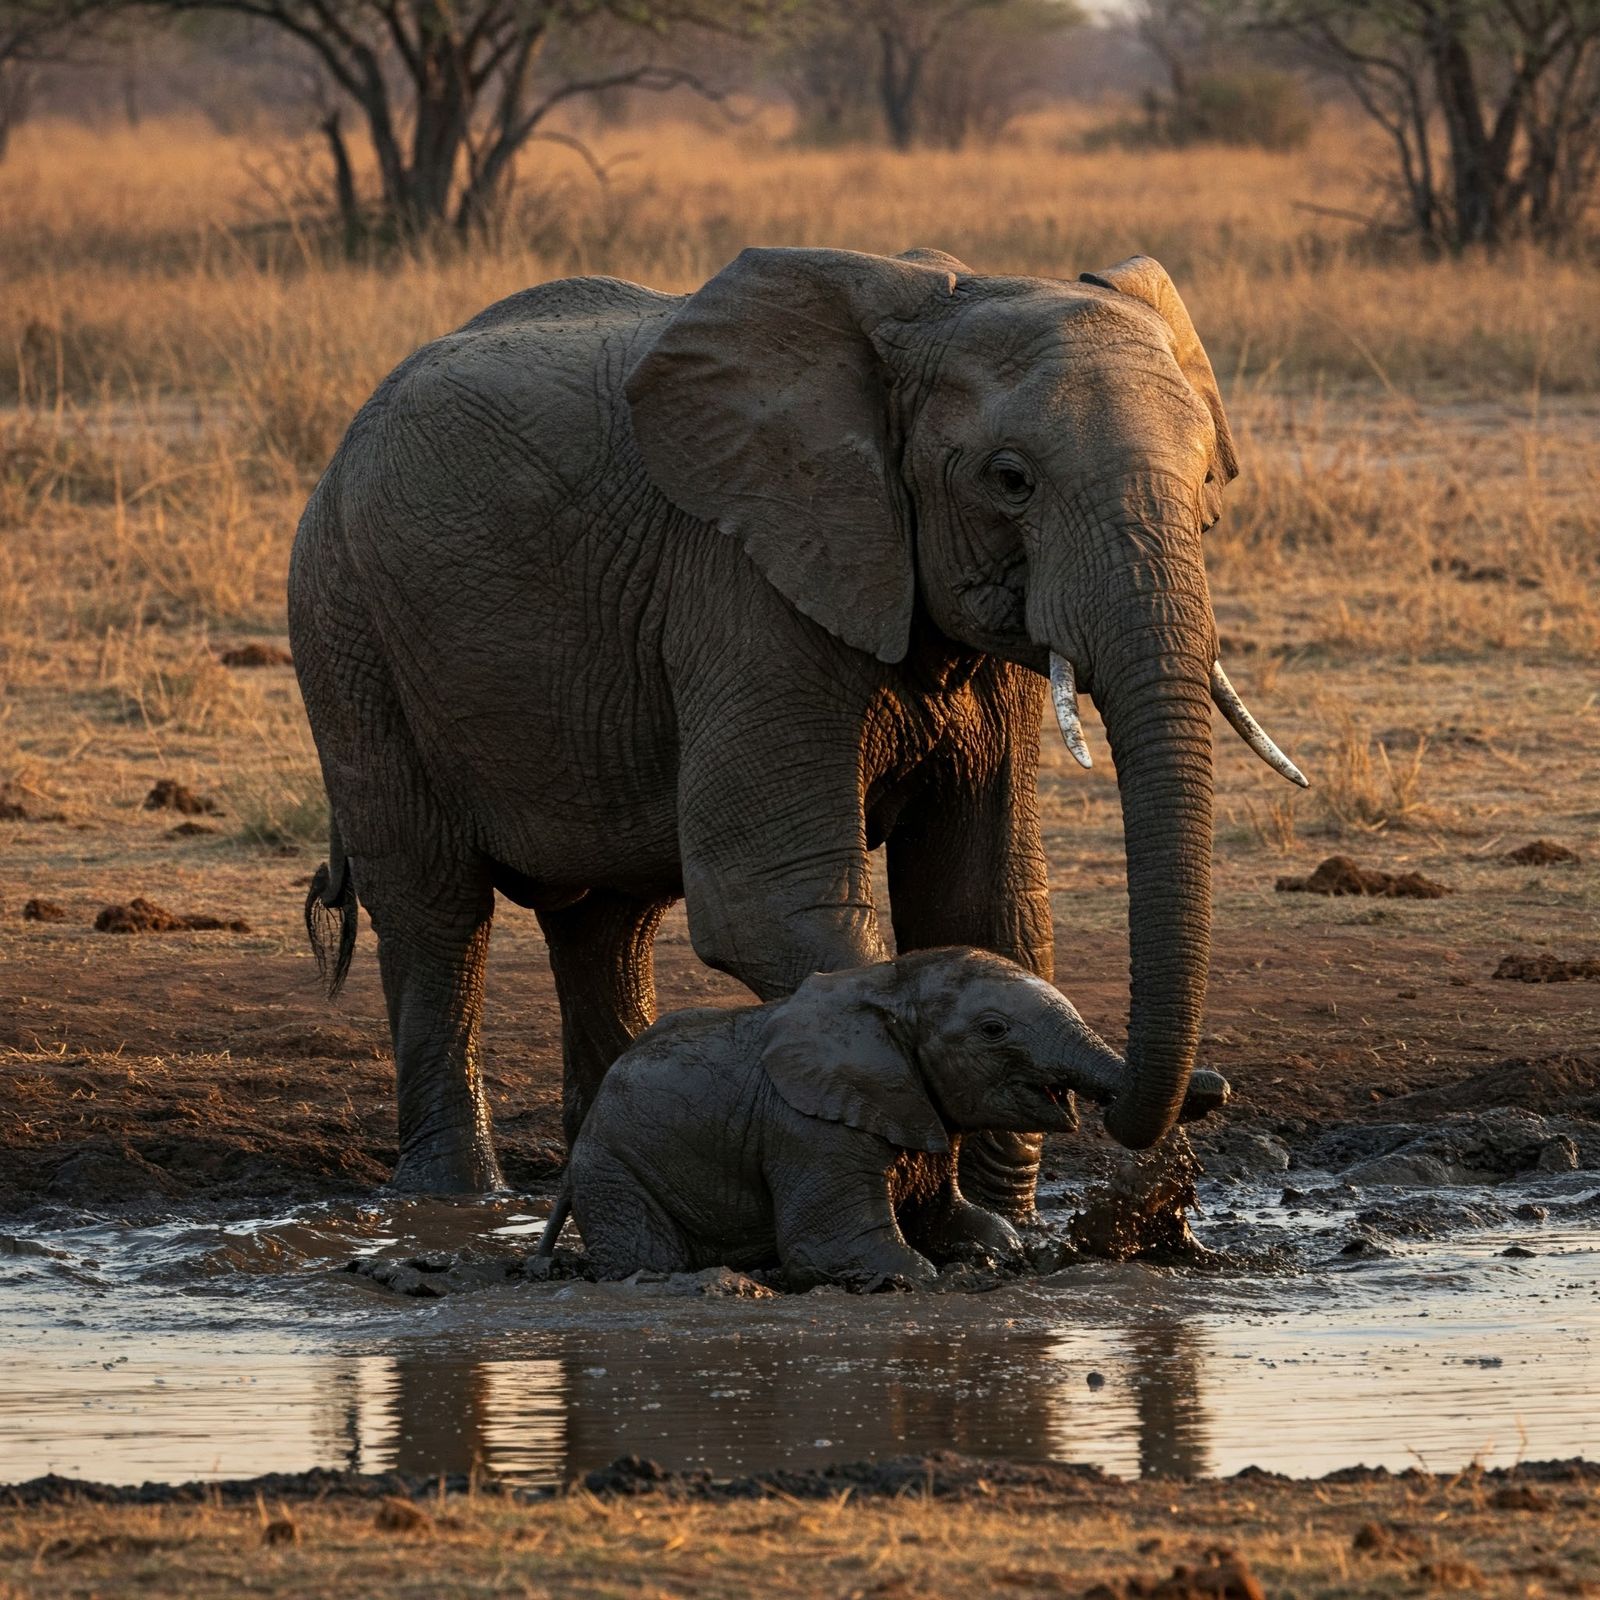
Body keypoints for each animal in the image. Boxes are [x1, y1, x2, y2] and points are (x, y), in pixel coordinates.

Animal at [288, 242, 1303, 1207]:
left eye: (1207, 482)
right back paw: (453, 1198)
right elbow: (771, 900)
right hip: (346, 625)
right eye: (1010, 480)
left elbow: (982, 903)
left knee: (606, 924)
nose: (1207, 1093)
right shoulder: (742, 583)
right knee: (434, 910)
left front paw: (998, 1231)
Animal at [555, 948, 1231, 1287]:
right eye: (993, 1030)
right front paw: (929, 1276)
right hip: (613, 1168)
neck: (887, 986)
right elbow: (841, 1250)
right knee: (650, 1253)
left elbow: (964, 1224)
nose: (1219, 1086)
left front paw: (1000, 1254)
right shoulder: (810, 1130)